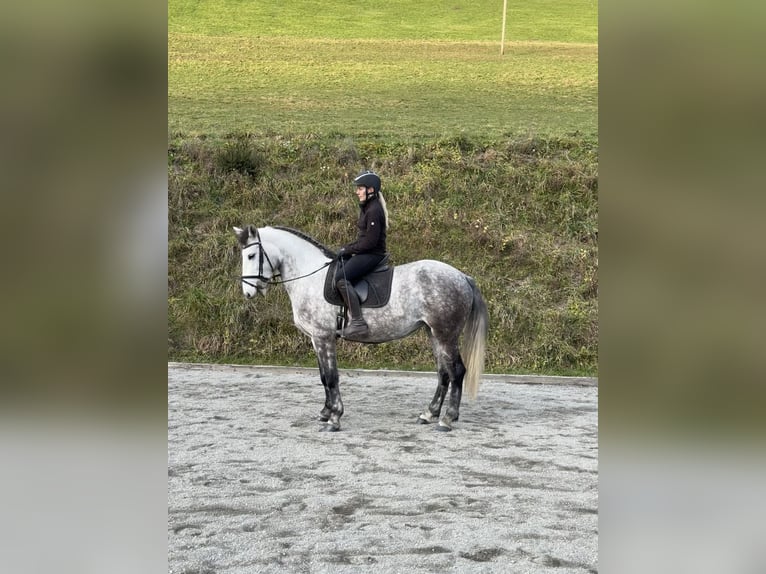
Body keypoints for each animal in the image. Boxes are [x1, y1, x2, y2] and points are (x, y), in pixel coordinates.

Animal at [233, 224, 489, 432]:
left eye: (251, 255)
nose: (248, 293)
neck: (309, 277)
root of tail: (462, 277)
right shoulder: (316, 339)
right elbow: (323, 377)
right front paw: (325, 412)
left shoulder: (323, 337)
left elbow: (332, 377)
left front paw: (334, 418)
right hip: (434, 333)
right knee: (443, 373)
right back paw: (429, 414)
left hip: (446, 334)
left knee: (457, 371)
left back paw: (447, 419)